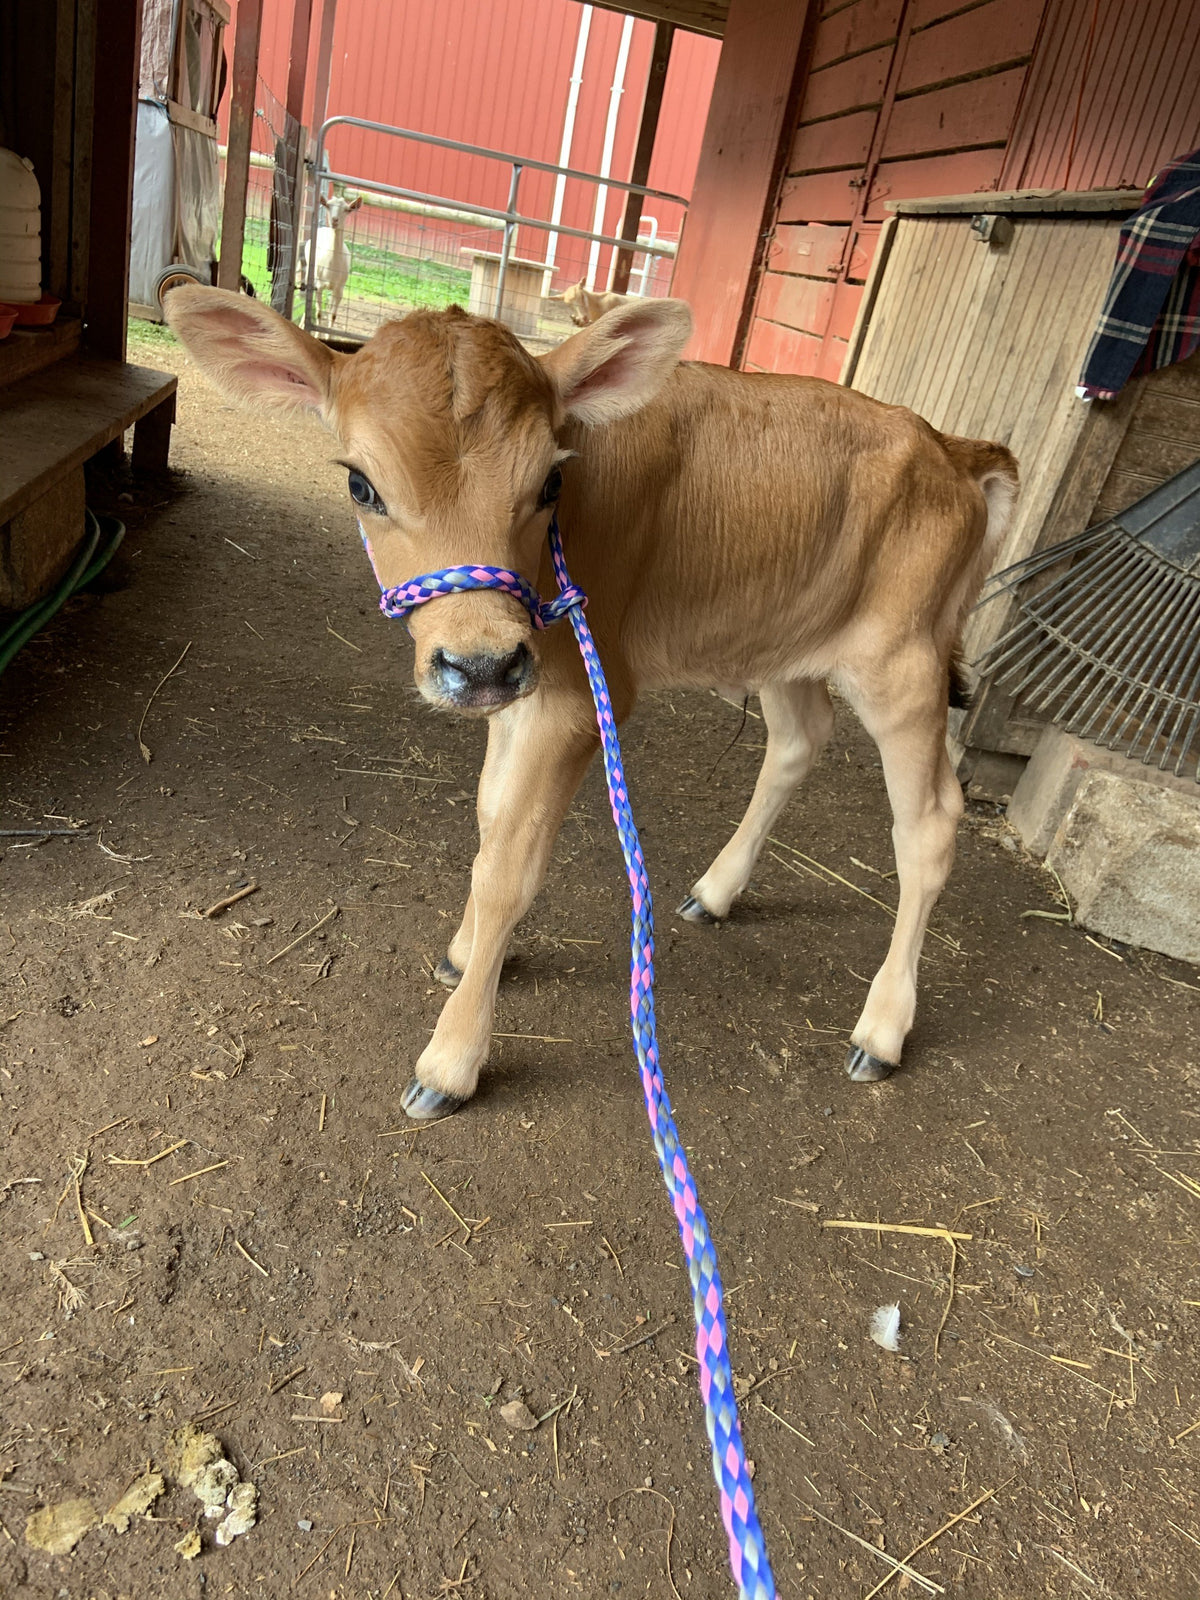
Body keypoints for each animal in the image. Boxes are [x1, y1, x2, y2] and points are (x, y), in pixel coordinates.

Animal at [165, 287, 1018, 1121]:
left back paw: (882, 1029)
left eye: (549, 483)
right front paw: (467, 952)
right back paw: (715, 892)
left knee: (931, 823)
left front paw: (452, 1058)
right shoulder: (523, 687)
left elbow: (510, 865)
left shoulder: (576, 698)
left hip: (901, 661)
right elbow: (490, 817)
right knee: (799, 740)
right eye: (359, 484)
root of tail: (951, 447)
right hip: (784, 635)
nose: (479, 662)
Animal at [297, 193, 362, 325]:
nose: (334, 220)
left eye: (347, 209)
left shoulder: (339, 289)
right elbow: (318, 313)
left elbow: (333, 315)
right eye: (327, 205)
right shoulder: (319, 286)